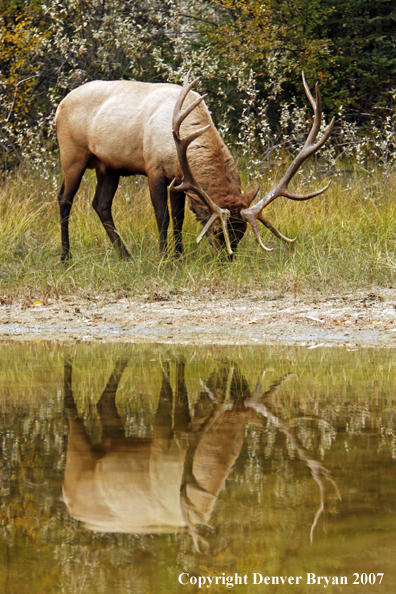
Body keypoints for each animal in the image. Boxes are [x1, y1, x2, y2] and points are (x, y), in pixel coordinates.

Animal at [55, 69, 334, 260]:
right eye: (217, 231)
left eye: (242, 232)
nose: (228, 258)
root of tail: (60, 105)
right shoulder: (154, 168)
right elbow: (163, 216)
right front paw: (163, 257)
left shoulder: (179, 179)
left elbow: (178, 217)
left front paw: (179, 256)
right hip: (72, 154)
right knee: (64, 198)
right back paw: (66, 256)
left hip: (108, 167)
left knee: (100, 204)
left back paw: (125, 256)